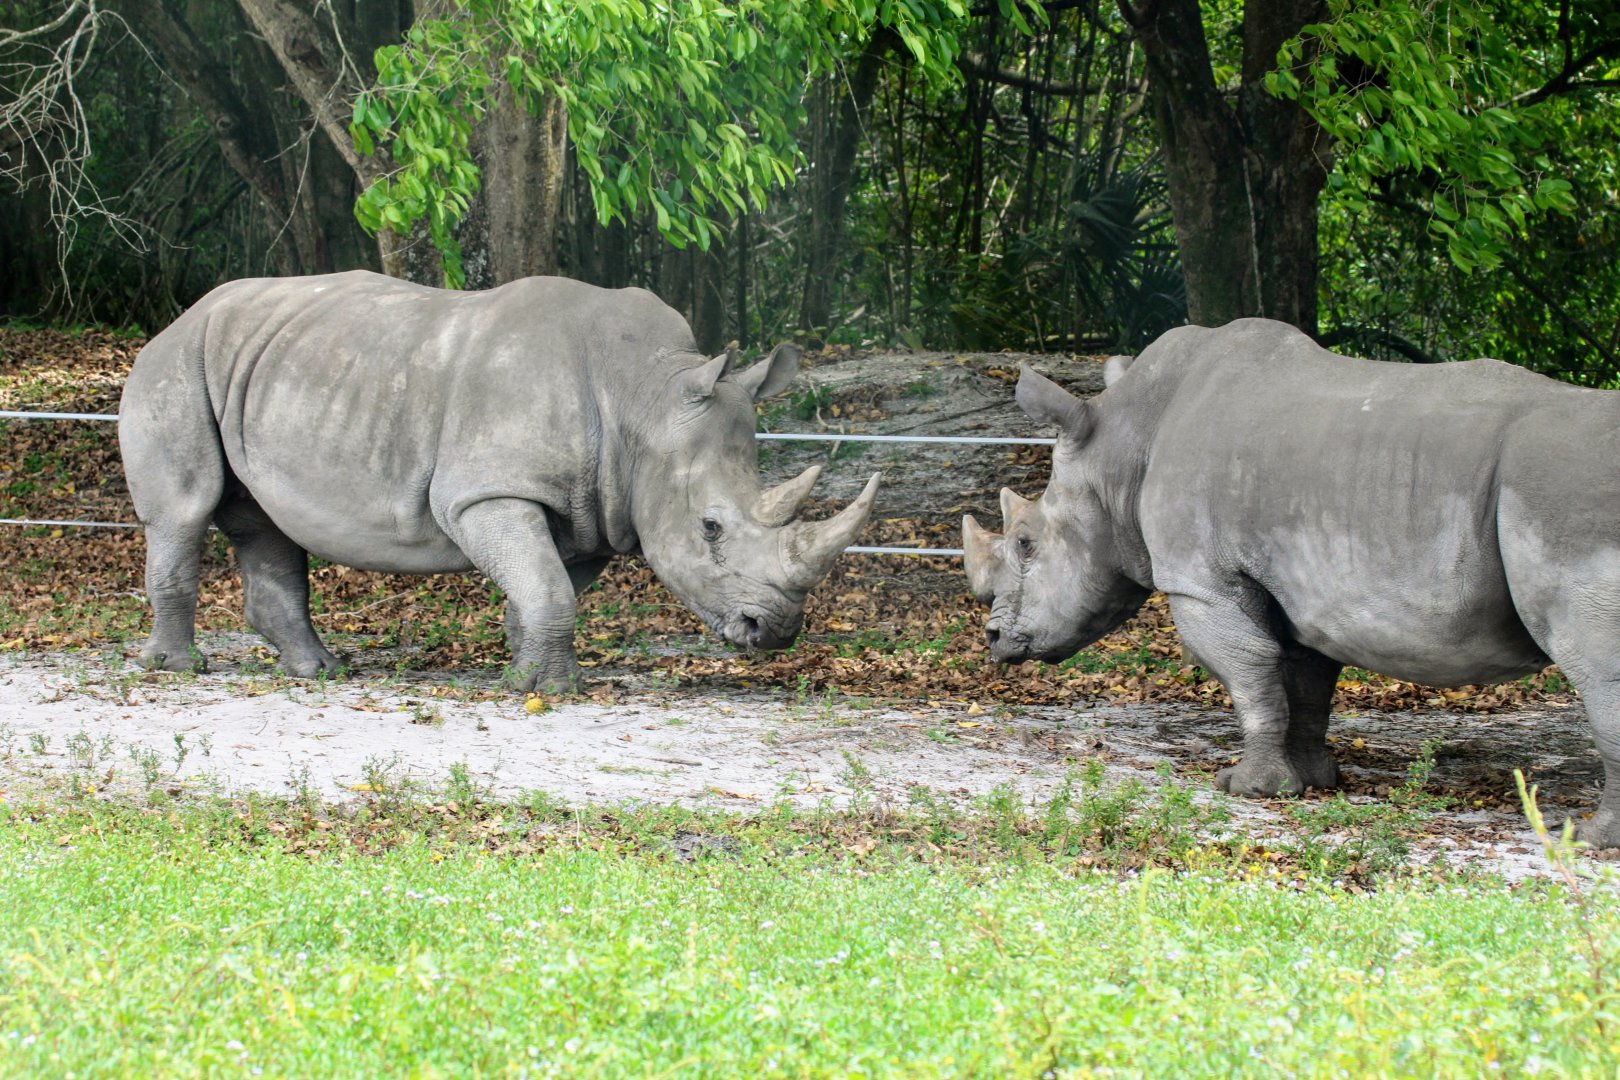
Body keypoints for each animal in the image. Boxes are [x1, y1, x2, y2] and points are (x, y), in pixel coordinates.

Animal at [119, 270, 880, 691]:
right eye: (711, 528)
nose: (774, 631)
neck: (646, 396)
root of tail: (182, 315)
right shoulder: (485, 490)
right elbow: (545, 584)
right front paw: (548, 687)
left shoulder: (596, 509)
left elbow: (547, 586)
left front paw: (526, 672)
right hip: (175, 363)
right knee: (185, 511)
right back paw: (177, 669)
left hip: (265, 362)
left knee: (265, 520)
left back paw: (318, 672)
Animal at [963, 318, 1620, 847]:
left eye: (1026, 544)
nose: (993, 640)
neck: (1119, 451)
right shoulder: (1302, 589)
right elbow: (1305, 684)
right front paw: (1312, 781)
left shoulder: (1201, 582)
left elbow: (1250, 671)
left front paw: (1247, 788)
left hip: (1564, 492)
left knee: (1594, 665)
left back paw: (1587, 839)